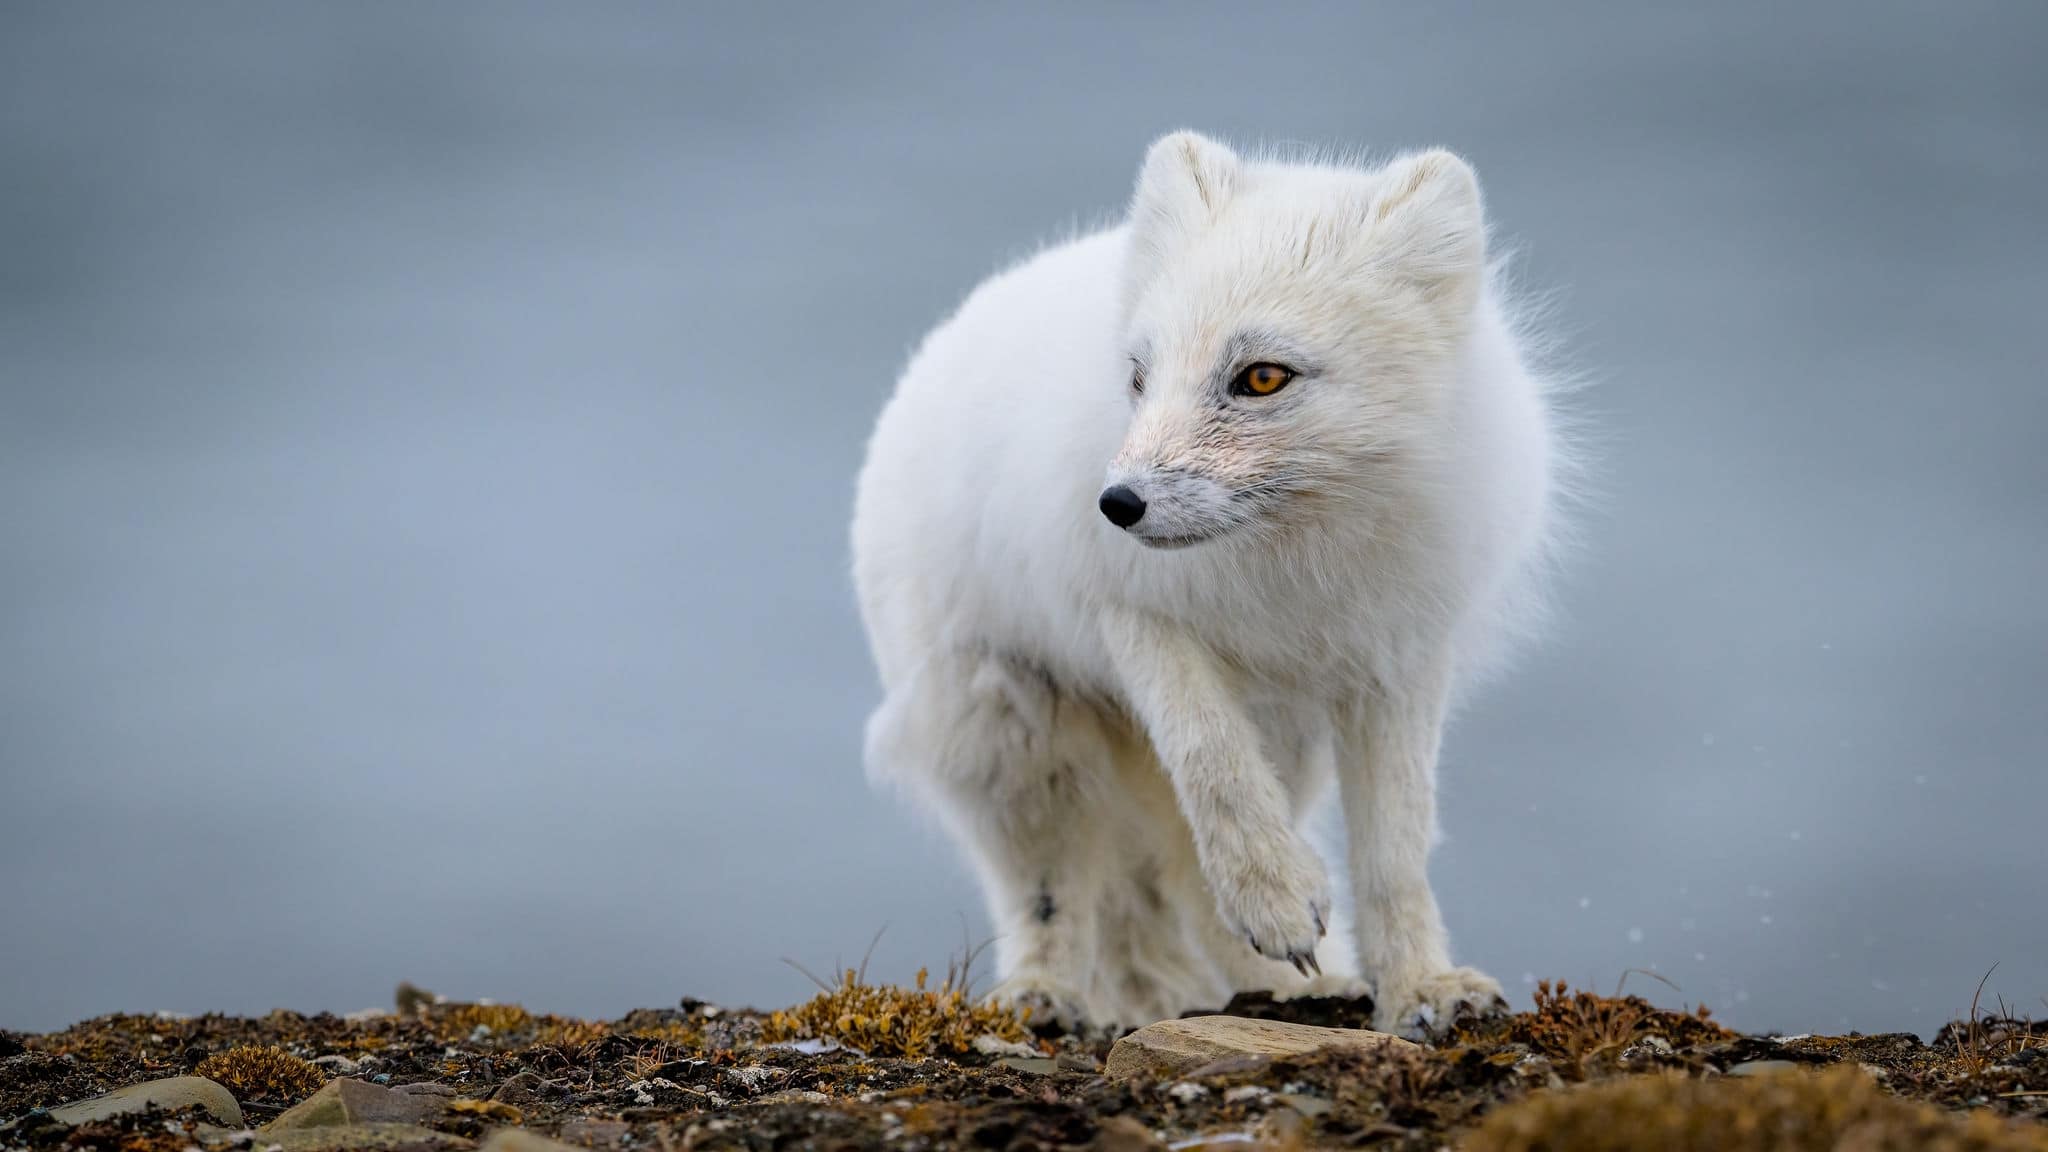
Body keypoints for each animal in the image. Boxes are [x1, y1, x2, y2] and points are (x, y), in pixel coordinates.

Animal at [851, 131, 1565, 1035]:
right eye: (1138, 377)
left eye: (1262, 377)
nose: (1118, 504)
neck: (1292, 564)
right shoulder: (1132, 616)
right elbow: (1212, 763)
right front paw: (1278, 900)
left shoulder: (1397, 659)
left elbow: (1396, 849)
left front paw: (1421, 988)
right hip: (1013, 728)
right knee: (1054, 886)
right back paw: (1047, 996)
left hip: (1285, 743)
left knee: (1173, 884)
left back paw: (1292, 986)